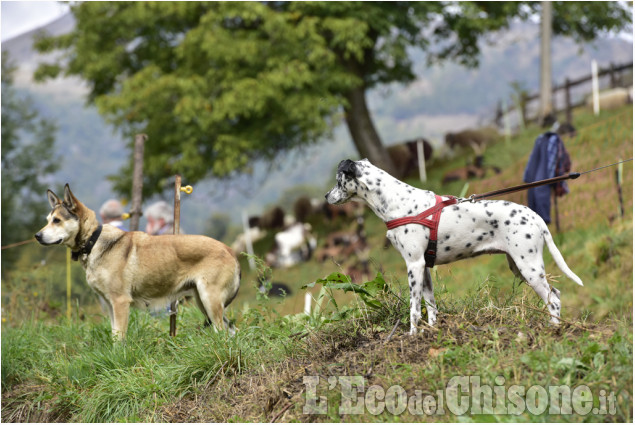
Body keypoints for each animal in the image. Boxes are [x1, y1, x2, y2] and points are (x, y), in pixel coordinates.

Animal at [36, 184, 241, 340]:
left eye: (57, 220)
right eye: (47, 220)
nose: (37, 236)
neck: (93, 241)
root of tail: (230, 251)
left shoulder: (120, 302)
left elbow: (119, 338)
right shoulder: (110, 304)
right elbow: (114, 335)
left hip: (209, 300)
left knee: (223, 332)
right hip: (203, 302)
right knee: (231, 330)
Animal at [326, 159, 584, 334]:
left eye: (338, 180)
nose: (327, 196)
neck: (398, 202)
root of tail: (535, 216)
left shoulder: (413, 265)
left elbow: (413, 309)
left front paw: (412, 336)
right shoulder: (424, 268)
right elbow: (430, 306)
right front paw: (432, 331)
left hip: (529, 268)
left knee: (553, 300)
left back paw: (553, 329)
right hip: (520, 268)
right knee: (555, 294)